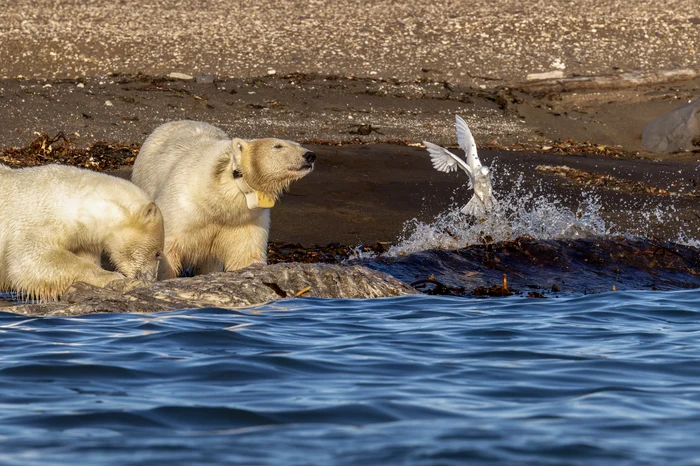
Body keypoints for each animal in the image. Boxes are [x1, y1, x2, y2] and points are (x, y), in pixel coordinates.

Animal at [0, 166, 165, 300]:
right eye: (157, 253)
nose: (151, 280)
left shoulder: (82, 238)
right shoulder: (37, 222)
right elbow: (33, 258)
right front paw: (114, 276)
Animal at [132, 122, 318, 278]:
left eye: (298, 144)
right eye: (278, 146)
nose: (310, 155)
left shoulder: (246, 220)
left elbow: (246, 254)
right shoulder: (182, 207)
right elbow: (168, 247)